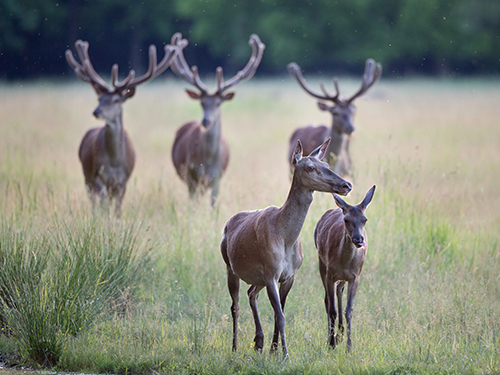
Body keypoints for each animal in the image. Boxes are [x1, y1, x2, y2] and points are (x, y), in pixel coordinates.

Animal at [65, 39, 176, 216]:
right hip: (86, 176)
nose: (96, 111)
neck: (114, 162)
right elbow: (103, 204)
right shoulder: (97, 176)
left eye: (116, 100)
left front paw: (115, 220)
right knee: (94, 201)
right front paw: (103, 219)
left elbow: (117, 209)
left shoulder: (123, 181)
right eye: (99, 98)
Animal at [170, 32, 266, 207]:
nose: (206, 121)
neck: (207, 160)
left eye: (219, 103)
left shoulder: (217, 176)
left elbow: (213, 205)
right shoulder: (191, 173)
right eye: (201, 103)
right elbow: (193, 204)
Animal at [221, 140, 354, 360]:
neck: (285, 238)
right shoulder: (271, 273)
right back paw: (234, 347)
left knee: (251, 293)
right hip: (230, 267)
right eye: (310, 167)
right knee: (235, 306)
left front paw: (273, 349)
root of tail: (227, 224)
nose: (346, 185)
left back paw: (259, 342)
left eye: (326, 164)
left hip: (258, 278)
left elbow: (279, 313)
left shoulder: (288, 275)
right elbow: (281, 316)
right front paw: (284, 354)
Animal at [314, 185, 374, 352]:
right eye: (346, 220)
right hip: (322, 263)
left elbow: (349, 310)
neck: (345, 263)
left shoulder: (355, 277)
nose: (358, 239)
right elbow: (332, 309)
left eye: (365, 220)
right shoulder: (330, 274)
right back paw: (332, 336)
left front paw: (349, 346)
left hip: (342, 277)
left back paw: (340, 334)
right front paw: (331, 343)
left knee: (339, 291)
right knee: (327, 300)